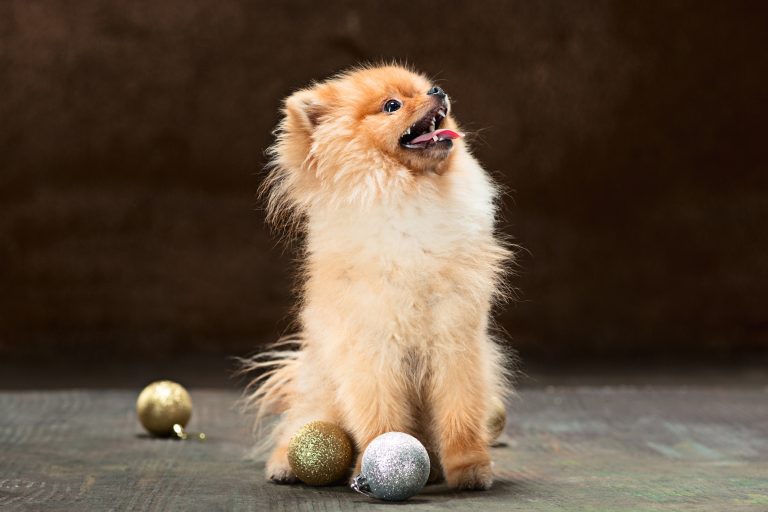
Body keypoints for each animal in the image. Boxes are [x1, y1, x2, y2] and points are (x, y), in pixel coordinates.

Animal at [246, 66, 510, 490]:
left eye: (425, 88)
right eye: (392, 106)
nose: (437, 90)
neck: (411, 196)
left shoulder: (455, 339)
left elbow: (460, 410)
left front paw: (469, 468)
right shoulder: (372, 347)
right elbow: (380, 415)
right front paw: (382, 457)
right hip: (319, 394)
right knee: (301, 424)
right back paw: (285, 463)